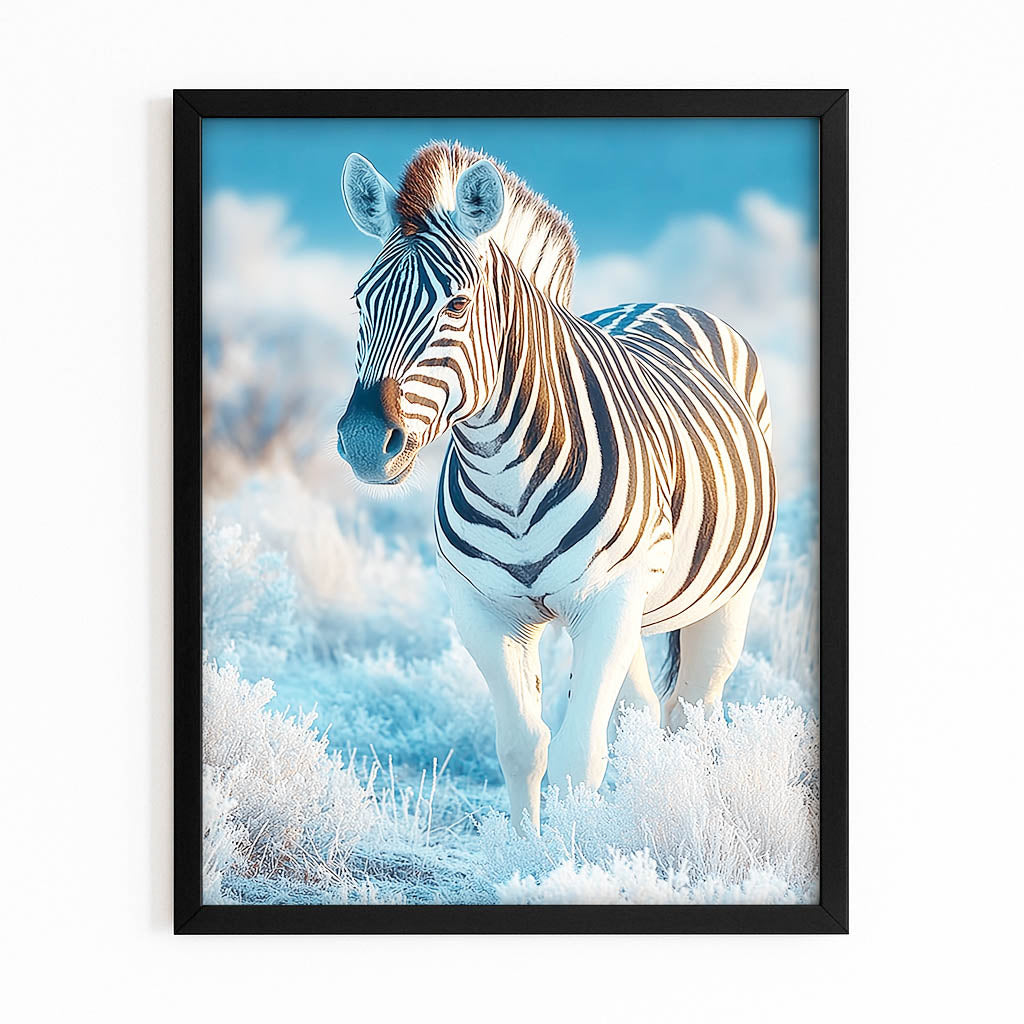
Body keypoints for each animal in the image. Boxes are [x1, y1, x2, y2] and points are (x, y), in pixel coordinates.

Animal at [337, 142, 776, 833]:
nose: (361, 440)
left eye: (457, 305)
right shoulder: (485, 612)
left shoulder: (608, 597)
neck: (506, 475)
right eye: (360, 301)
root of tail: (662, 299)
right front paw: (528, 847)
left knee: (693, 713)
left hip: (724, 596)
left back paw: (686, 811)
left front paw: (570, 852)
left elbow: (578, 756)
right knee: (640, 713)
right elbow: (524, 745)